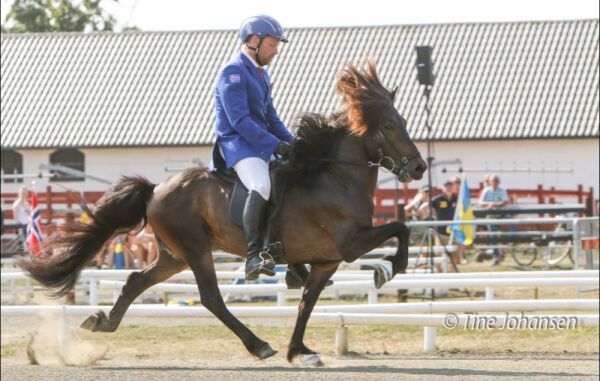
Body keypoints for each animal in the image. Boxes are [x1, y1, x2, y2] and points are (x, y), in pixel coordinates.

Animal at [17, 62, 426, 366]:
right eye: (389, 126)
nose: (420, 168)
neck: (334, 175)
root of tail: (157, 189)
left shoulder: (327, 260)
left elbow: (306, 303)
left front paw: (299, 351)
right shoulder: (349, 244)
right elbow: (401, 226)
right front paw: (387, 269)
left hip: (174, 255)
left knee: (136, 281)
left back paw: (102, 323)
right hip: (196, 250)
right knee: (211, 298)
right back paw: (258, 344)